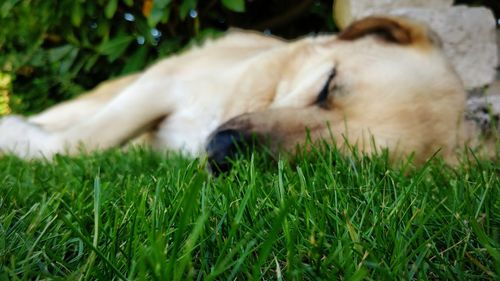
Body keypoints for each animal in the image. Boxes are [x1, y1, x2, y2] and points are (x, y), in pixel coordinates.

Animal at [0, 16, 494, 171]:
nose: (221, 150)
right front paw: (18, 138)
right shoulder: (163, 83)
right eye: (326, 85)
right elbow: (85, 138)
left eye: (341, 163)